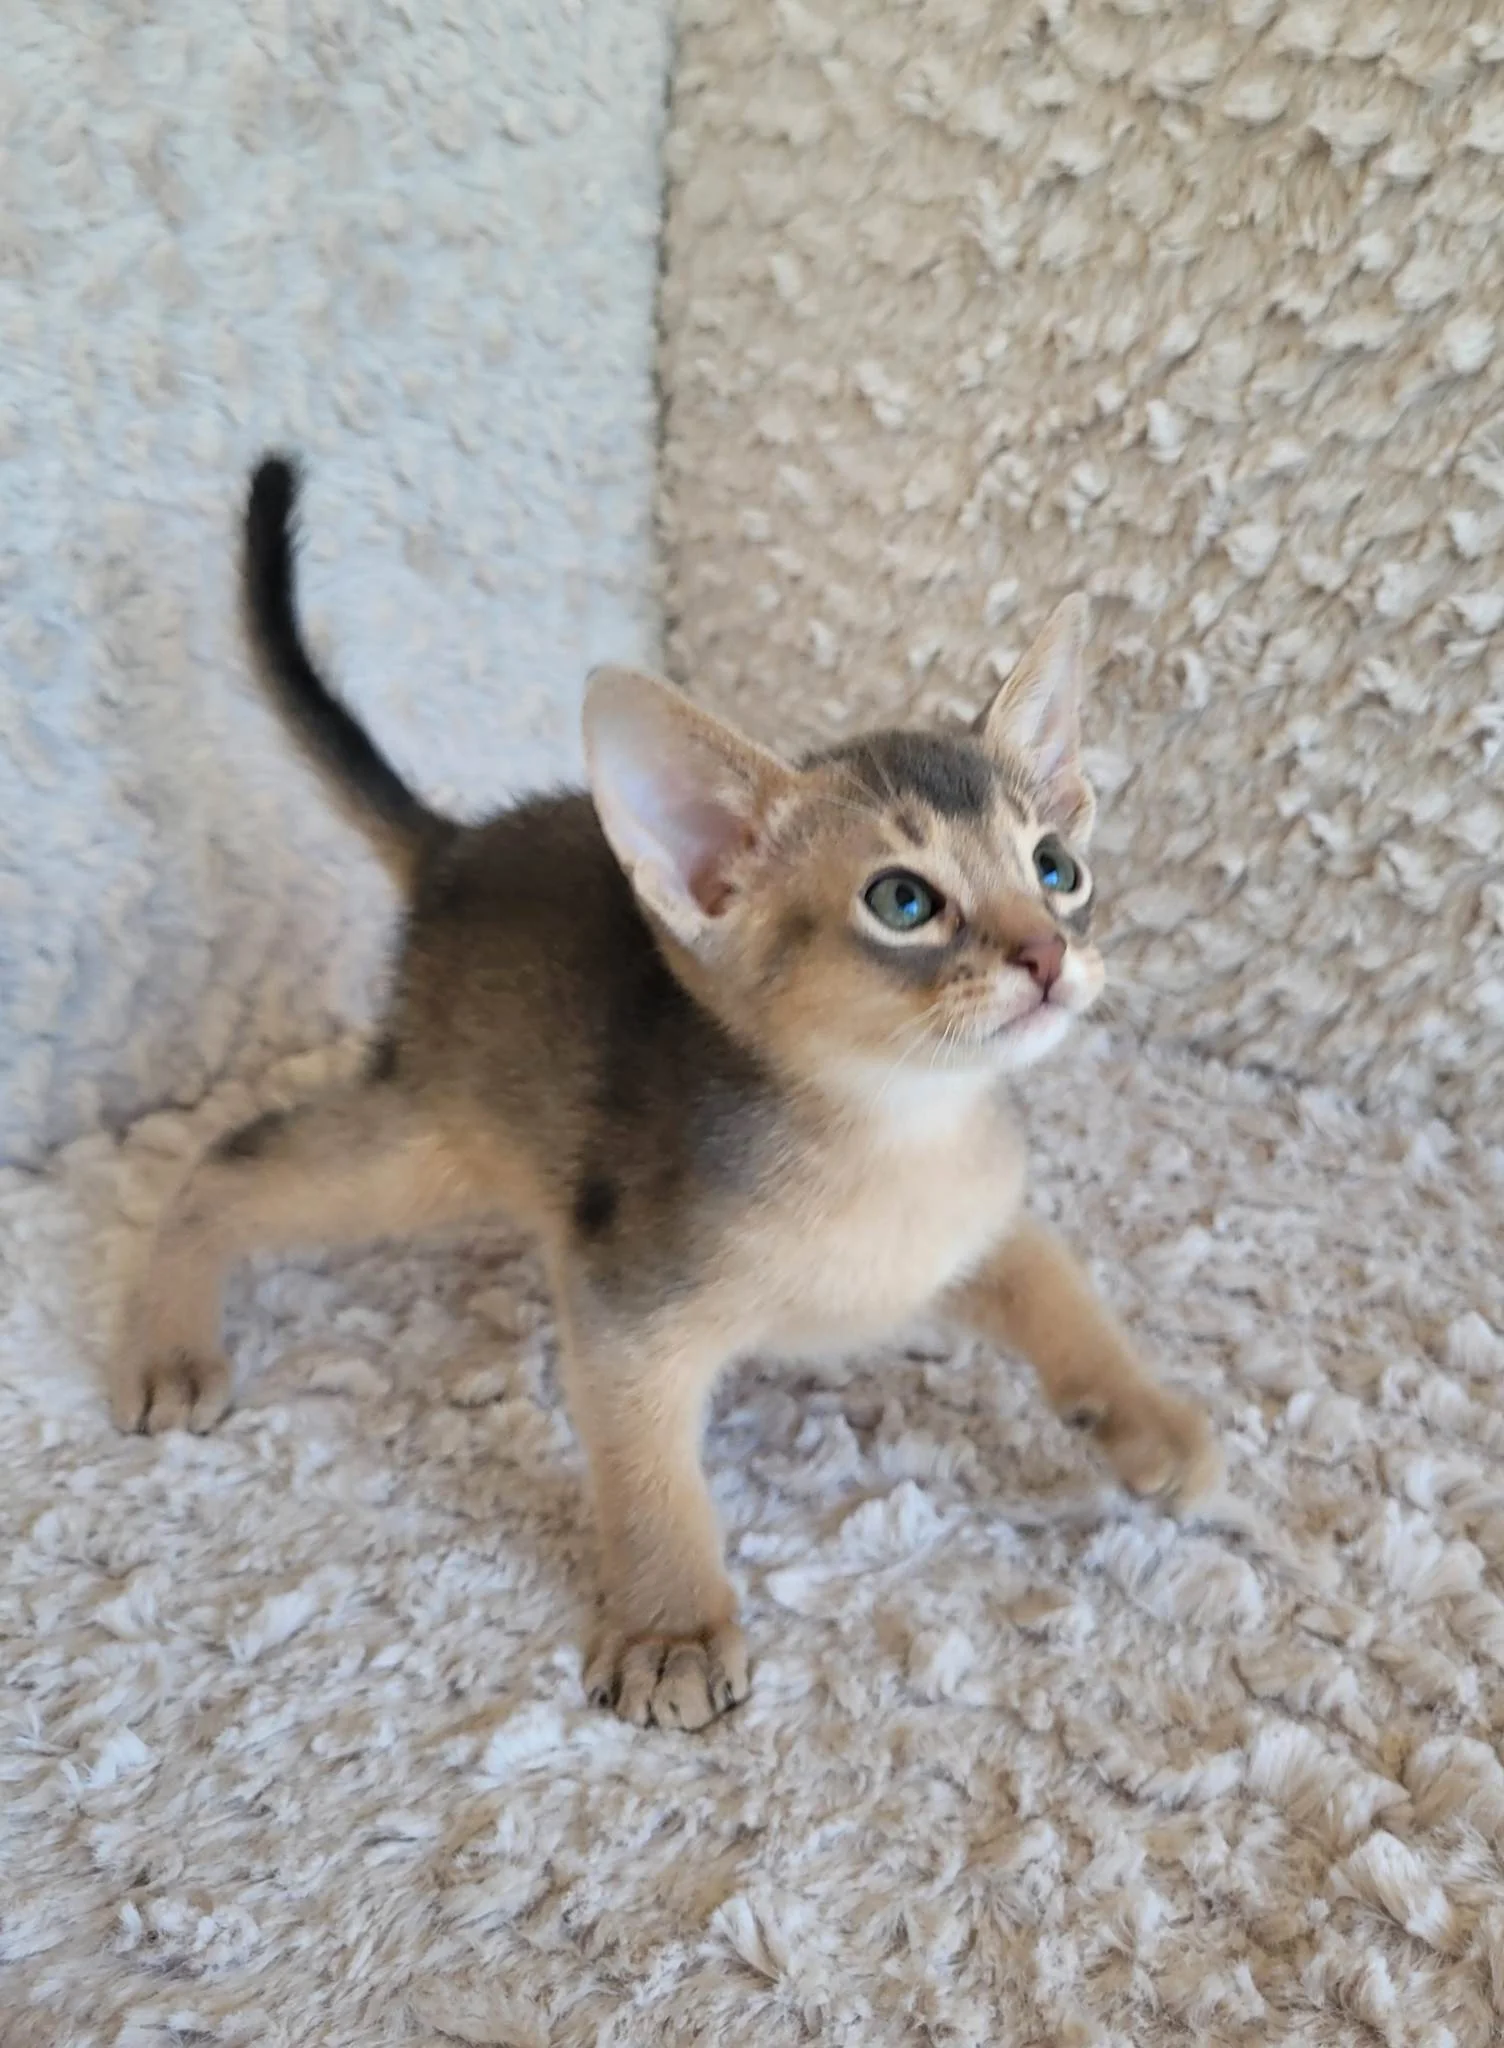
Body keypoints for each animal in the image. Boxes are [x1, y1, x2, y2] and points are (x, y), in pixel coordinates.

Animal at [110, 455, 1221, 1731]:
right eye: (901, 900)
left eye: (1055, 866)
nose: (1047, 953)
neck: (895, 1137)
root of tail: (455, 850)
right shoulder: (624, 1302)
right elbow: (648, 1475)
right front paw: (672, 1625)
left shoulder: (984, 1219)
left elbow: (1066, 1296)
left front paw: (1147, 1418)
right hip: (432, 1140)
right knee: (228, 1159)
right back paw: (167, 1341)